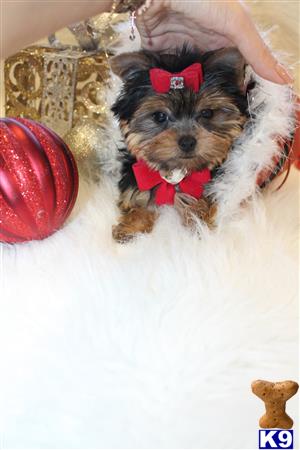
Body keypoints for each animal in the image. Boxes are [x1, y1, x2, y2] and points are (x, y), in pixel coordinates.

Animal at [109, 46, 246, 243]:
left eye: (207, 113)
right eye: (159, 116)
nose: (187, 142)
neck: (178, 172)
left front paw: (196, 216)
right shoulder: (137, 176)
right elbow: (138, 198)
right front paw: (131, 227)